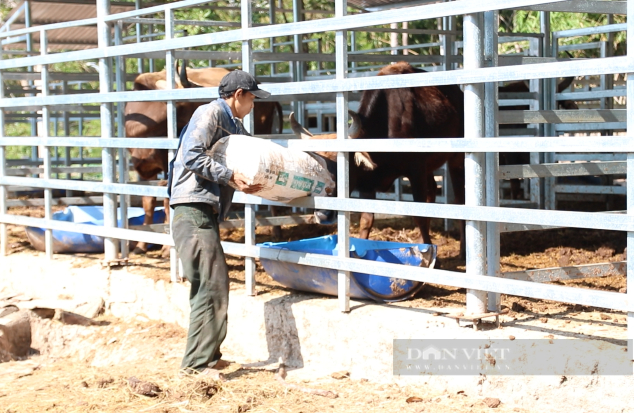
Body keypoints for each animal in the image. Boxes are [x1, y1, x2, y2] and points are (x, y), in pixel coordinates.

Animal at [124, 63, 282, 254]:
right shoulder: (143, 168)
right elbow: (148, 201)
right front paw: (140, 245)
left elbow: (165, 200)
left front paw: (166, 248)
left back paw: (276, 230)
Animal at [290, 61, 464, 258]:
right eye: (313, 172)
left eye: (343, 170)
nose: (323, 215)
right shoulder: (368, 185)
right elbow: (366, 219)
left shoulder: (416, 170)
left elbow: (418, 214)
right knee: (433, 190)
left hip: (456, 159)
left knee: (459, 198)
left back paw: (462, 251)